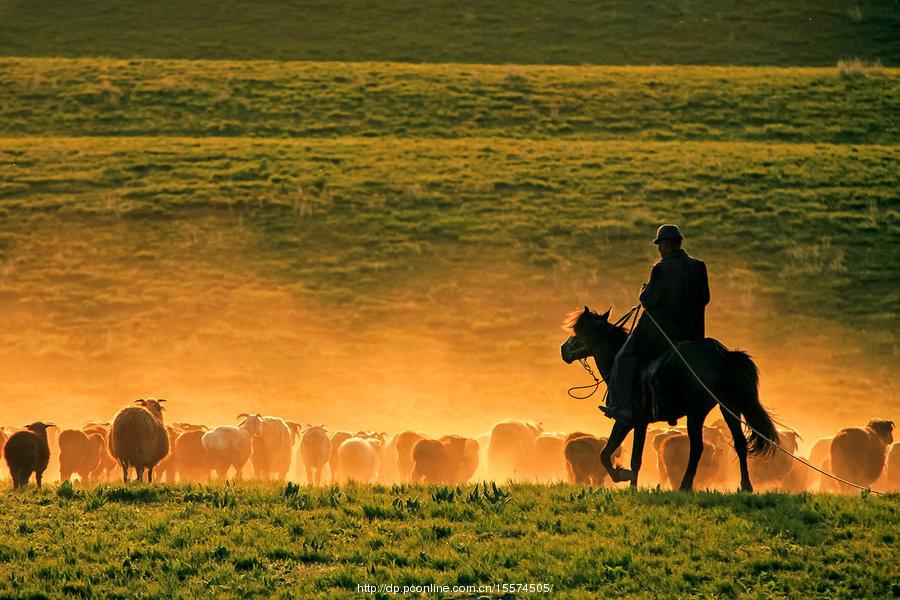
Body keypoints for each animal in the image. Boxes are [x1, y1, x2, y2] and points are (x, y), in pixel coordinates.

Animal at [560, 308, 776, 490]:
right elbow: (627, 457)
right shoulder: (638, 423)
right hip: (729, 407)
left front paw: (624, 478)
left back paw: (685, 486)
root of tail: (725, 354)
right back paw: (745, 486)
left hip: (697, 413)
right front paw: (631, 484)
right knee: (740, 443)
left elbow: (611, 456)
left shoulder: (629, 421)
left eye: (580, 330)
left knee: (697, 448)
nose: (564, 349)